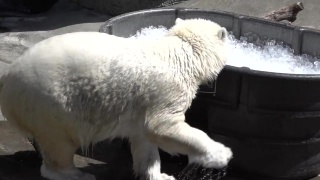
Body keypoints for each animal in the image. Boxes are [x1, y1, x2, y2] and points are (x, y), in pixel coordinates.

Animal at [0, 17, 231, 180]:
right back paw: (77, 175)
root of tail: (7, 79)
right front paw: (221, 154)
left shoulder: (142, 106)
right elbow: (163, 127)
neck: (180, 55)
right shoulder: (166, 90)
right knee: (59, 143)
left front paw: (160, 175)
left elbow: (144, 138)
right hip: (48, 103)